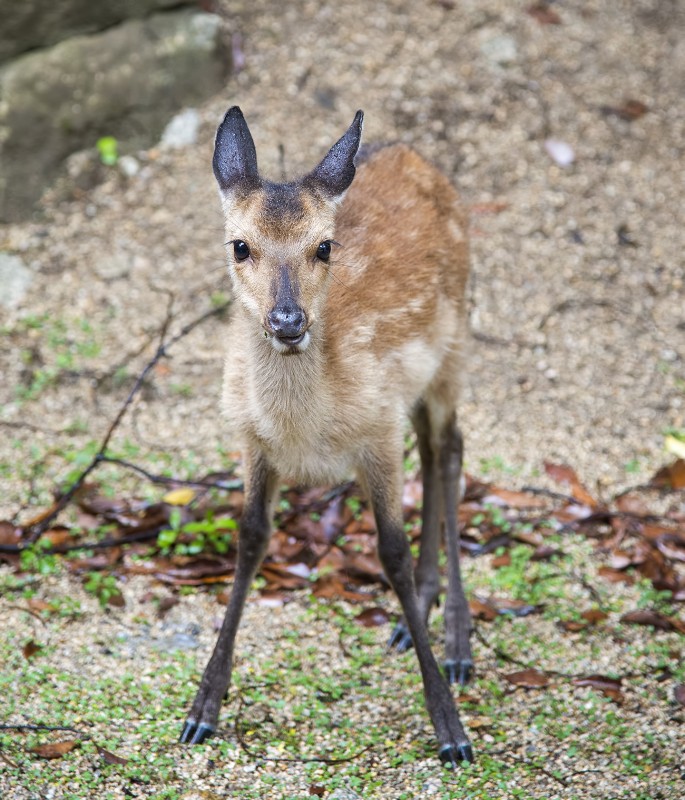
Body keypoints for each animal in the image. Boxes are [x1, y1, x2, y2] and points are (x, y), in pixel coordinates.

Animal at [179, 106, 474, 767]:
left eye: (323, 246)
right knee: (435, 446)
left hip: (454, 346)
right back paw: (417, 616)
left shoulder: (378, 429)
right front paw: (201, 711)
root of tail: (418, 158)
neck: (307, 432)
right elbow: (250, 539)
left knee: (449, 448)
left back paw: (458, 645)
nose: (288, 322)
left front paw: (451, 730)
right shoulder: (252, 440)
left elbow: (390, 551)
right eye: (241, 245)